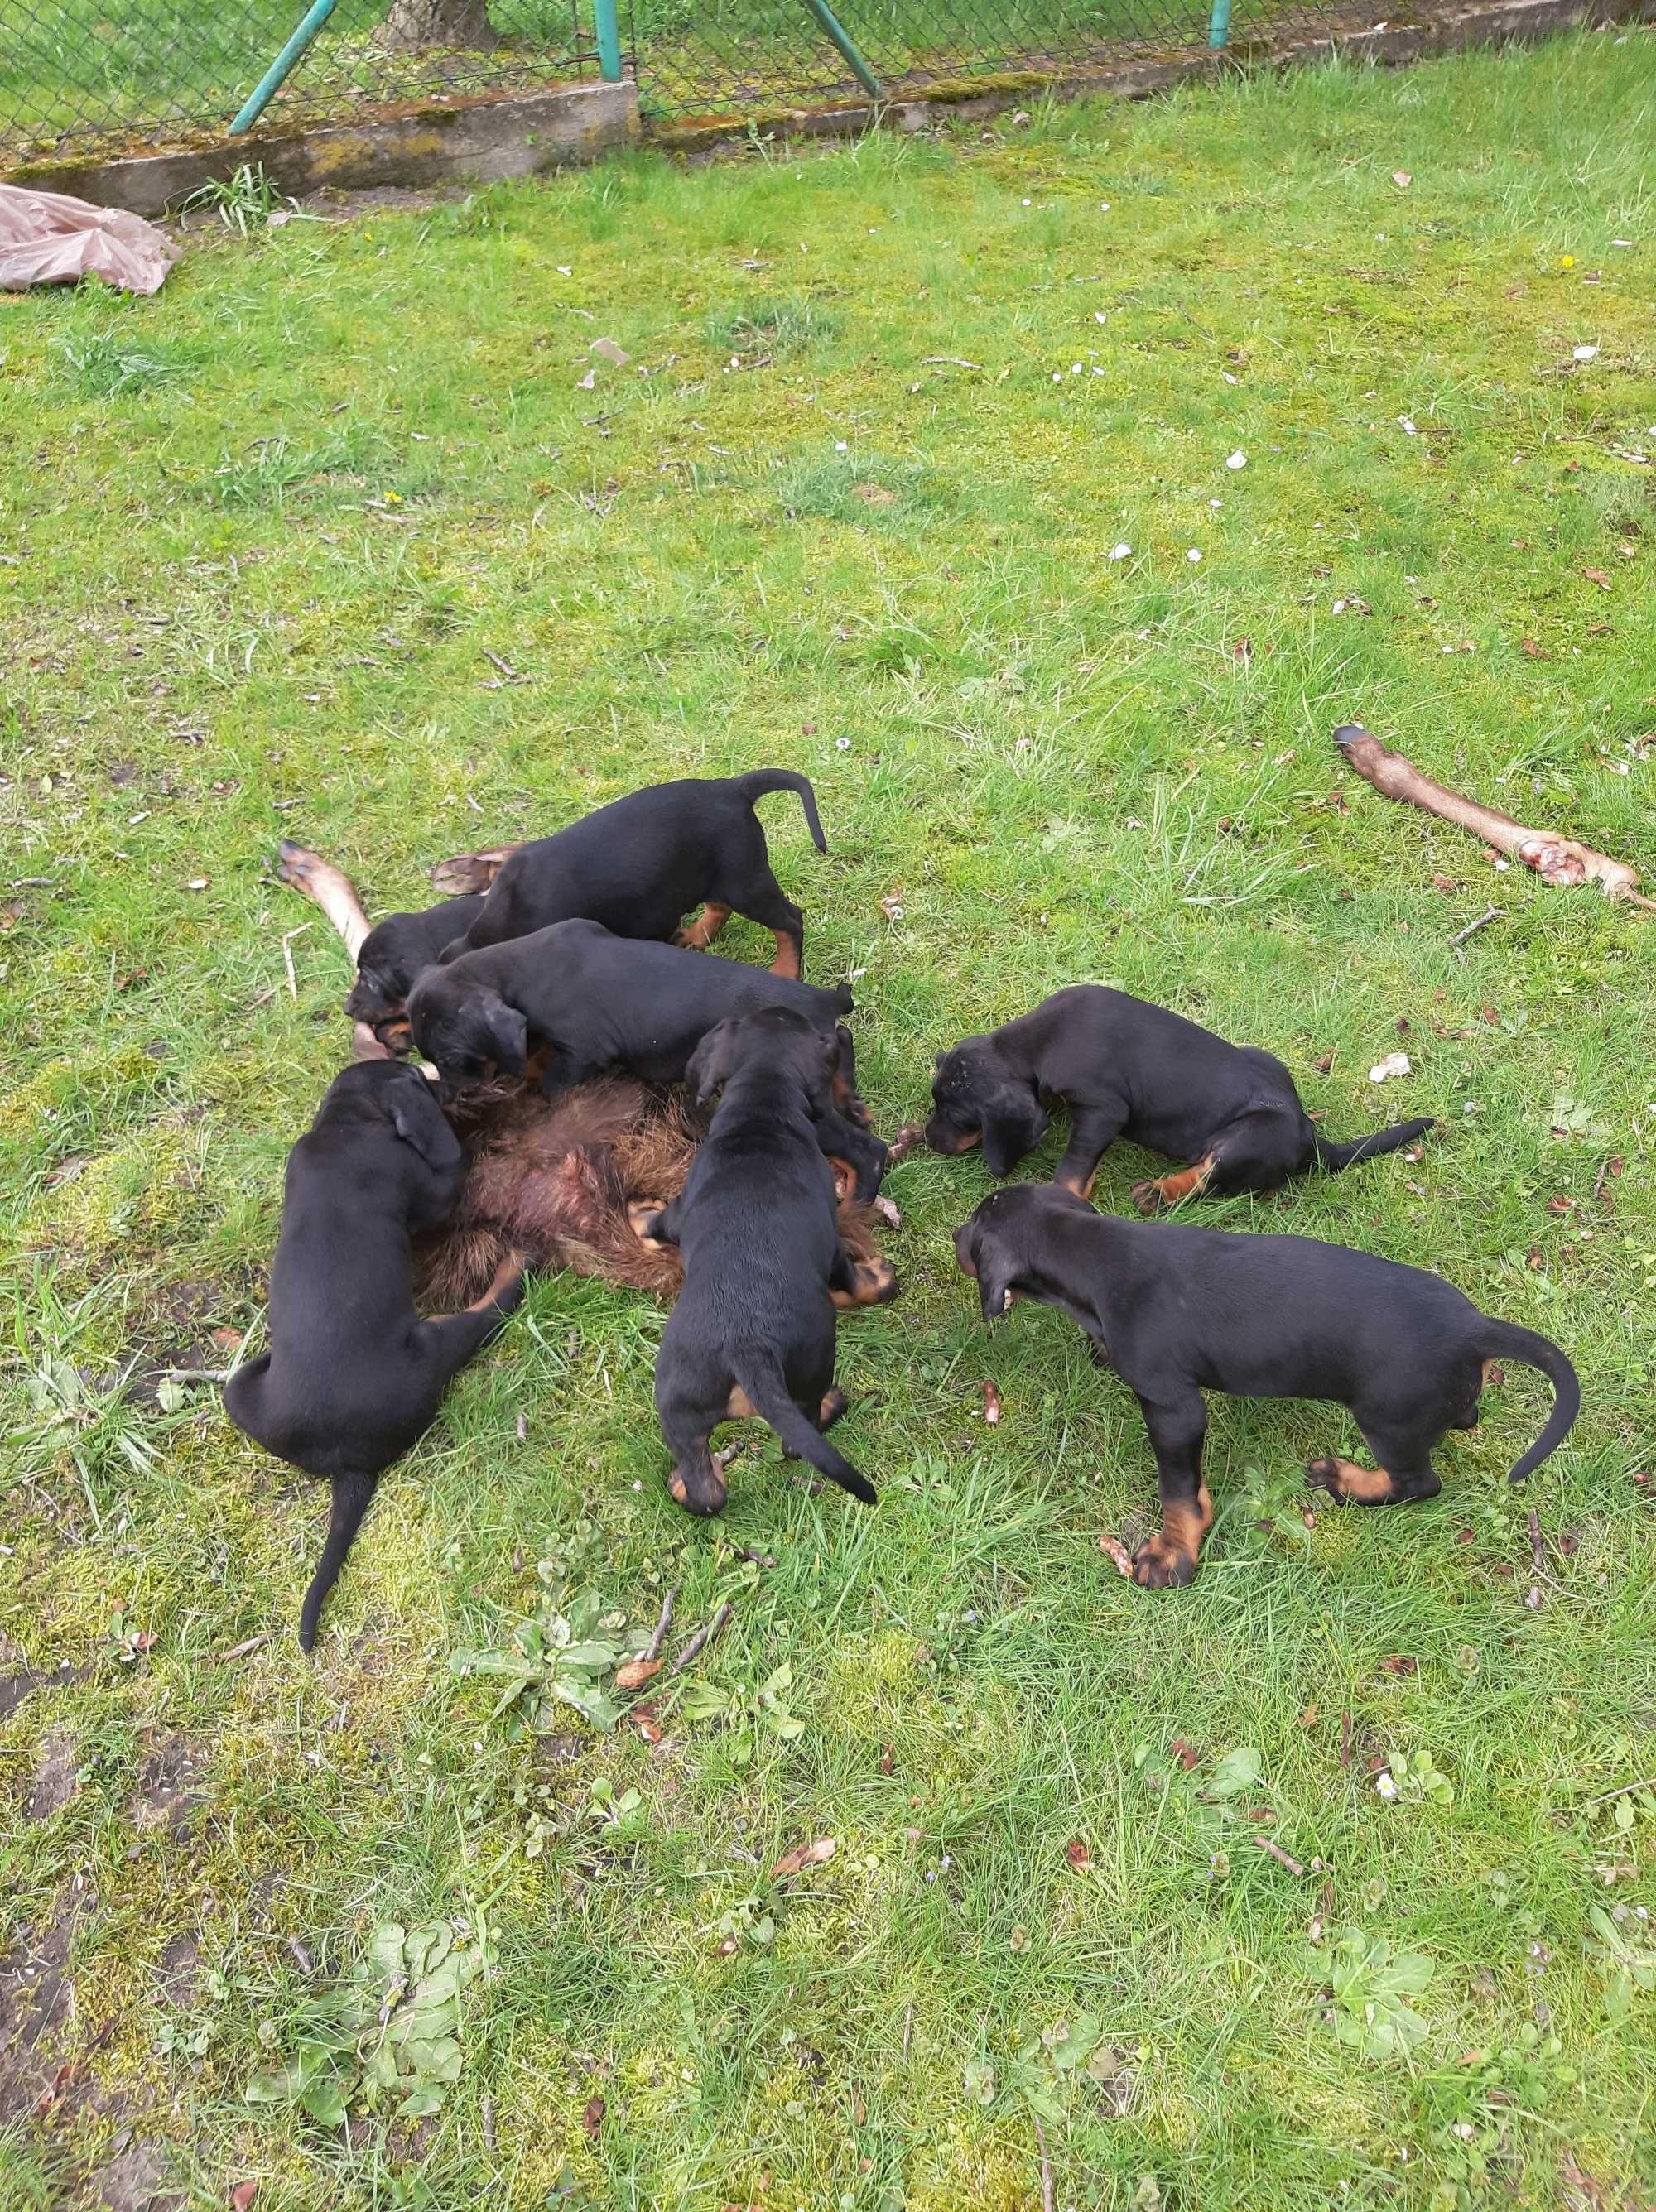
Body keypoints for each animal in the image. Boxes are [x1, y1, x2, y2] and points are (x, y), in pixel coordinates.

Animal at [223, 1061, 523, 1654]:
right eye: (424, 1081)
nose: (451, 1086)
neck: (345, 1124)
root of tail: (348, 1461)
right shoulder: (432, 1188)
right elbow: (453, 1161)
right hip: (431, 1345)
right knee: (485, 1315)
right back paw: (514, 1268)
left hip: (239, 1388)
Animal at [440, 769, 826, 978]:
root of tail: (732, 788)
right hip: (711, 874)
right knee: (719, 906)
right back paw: (695, 936)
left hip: (745, 880)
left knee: (789, 921)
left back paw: (784, 971)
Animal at [951, 1194, 1574, 1592]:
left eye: (974, 1229)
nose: (952, 1236)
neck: (1096, 1251)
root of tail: (1474, 1329)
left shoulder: (1174, 1409)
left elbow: (1177, 1492)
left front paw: (1173, 1554)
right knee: (1462, 1419)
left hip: (1387, 1420)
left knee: (1418, 1483)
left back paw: (1347, 1481)